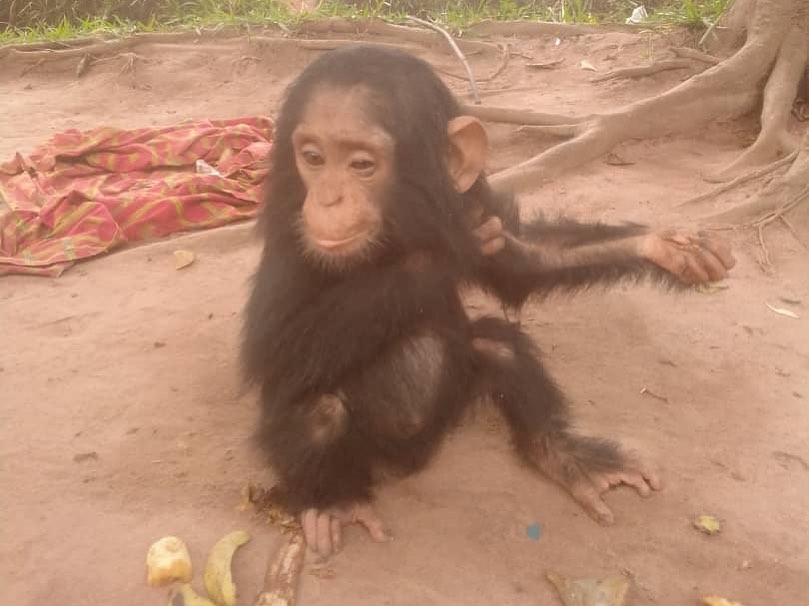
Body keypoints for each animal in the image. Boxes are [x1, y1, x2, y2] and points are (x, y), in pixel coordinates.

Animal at [241, 45, 735, 558]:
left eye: (361, 165)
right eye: (313, 158)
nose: (328, 198)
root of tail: (414, 458)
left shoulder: (471, 202)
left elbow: (524, 263)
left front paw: (666, 246)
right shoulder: (290, 231)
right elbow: (274, 346)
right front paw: (449, 249)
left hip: (456, 400)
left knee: (500, 345)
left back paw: (565, 457)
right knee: (319, 413)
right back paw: (335, 503)